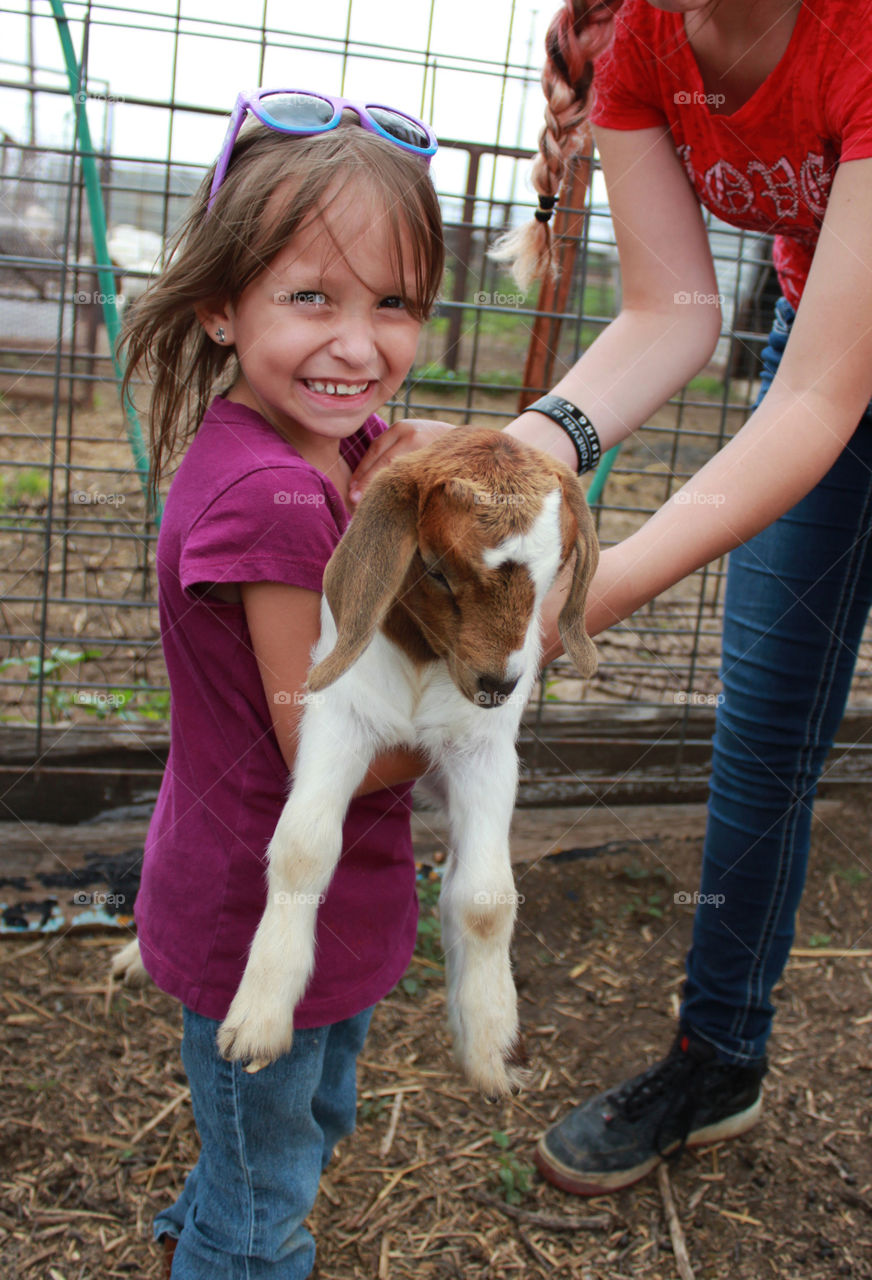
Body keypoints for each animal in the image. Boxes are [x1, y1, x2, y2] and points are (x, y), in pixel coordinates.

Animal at [217, 424, 599, 1095]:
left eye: (555, 576)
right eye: (439, 572)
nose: (498, 684)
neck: (426, 659)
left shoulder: (484, 749)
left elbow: (485, 898)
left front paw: (492, 1046)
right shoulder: (339, 712)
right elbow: (301, 847)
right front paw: (259, 1018)